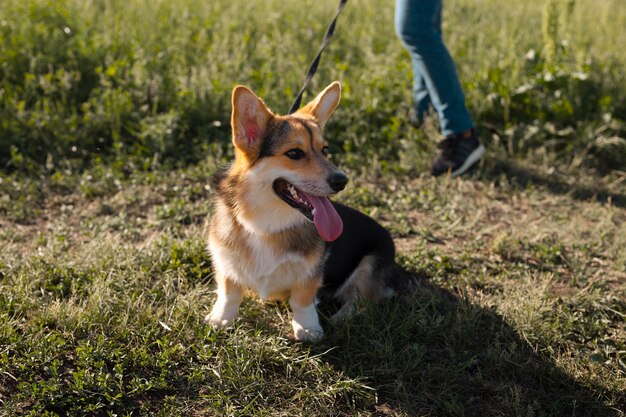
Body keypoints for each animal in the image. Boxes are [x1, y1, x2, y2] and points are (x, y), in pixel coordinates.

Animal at [205, 81, 394, 342]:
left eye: (325, 150)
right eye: (294, 153)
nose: (342, 181)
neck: (265, 225)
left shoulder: (310, 273)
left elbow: (303, 300)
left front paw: (308, 328)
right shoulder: (225, 262)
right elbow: (229, 291)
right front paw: (222, 318)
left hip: (369, 267)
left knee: (361, 299)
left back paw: (342, 317)